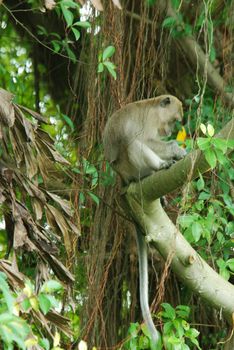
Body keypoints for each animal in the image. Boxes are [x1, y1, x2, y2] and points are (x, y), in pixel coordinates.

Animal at [102, 94, 186, 346]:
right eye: (174, 120)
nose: (170, 130)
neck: (154, 109)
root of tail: (123, 177)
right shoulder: (149, 121)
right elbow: (145, 139)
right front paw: (176, 149)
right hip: (131, 167)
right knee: (134, 144)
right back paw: (159, 166)